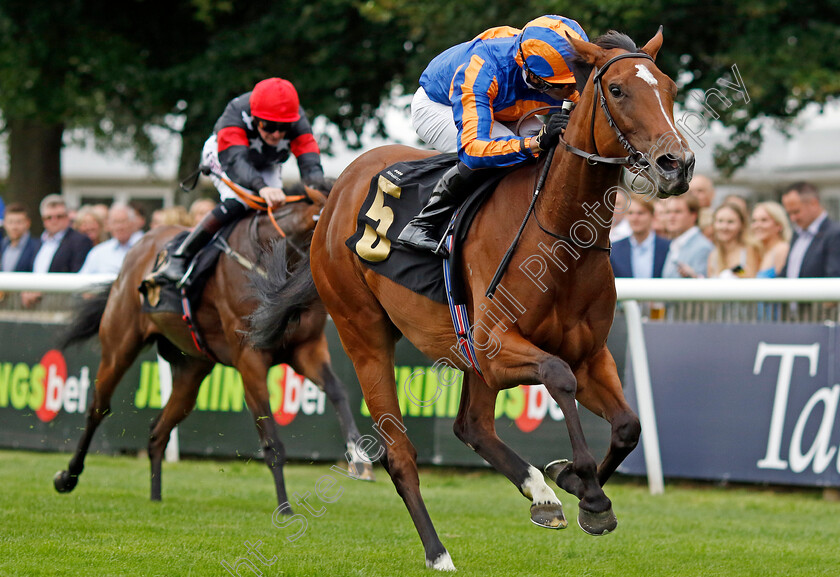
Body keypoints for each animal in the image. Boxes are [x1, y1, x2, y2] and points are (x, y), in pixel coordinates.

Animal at [54, 188, 372, 504]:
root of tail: (139, 245)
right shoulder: (250, 358)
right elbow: (271, 440)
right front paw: (285, 508)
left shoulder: (307, 348)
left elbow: (337, 390)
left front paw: (359, 458)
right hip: (120, 345)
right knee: (98, 408)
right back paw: (68, 477)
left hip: (191, 368)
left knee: (158, 431)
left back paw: (155, 497)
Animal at [251, 29, 696, 564]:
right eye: (617, 90)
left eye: (670, 88)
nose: (677, 164)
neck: (560, 235)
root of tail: (334, 196)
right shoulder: (496, 346)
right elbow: (558, 376)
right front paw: (589, 492)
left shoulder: (589, 353)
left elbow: (628, 425)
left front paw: (570, 482)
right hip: (365, 335)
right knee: (401, 453)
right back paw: (438, 552)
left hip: (461, 351)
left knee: (473, 425)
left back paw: (541, 495)